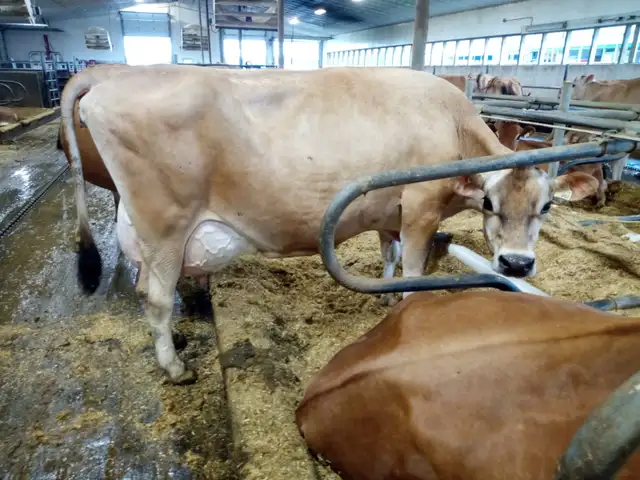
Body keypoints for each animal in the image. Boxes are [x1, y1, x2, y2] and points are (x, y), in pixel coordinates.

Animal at [60, 65, 598, 384]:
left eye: (546, 208)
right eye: (488, 202)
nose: (517, 264)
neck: (452, 123)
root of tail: (116, 78)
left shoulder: (390, 215)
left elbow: (388, 257)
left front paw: (385, 303)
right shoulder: (420, 207)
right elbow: (414, 274)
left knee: (143, 287)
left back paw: (175, 342)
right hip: (165, 224)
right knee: (155, 296)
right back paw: (174, 367)